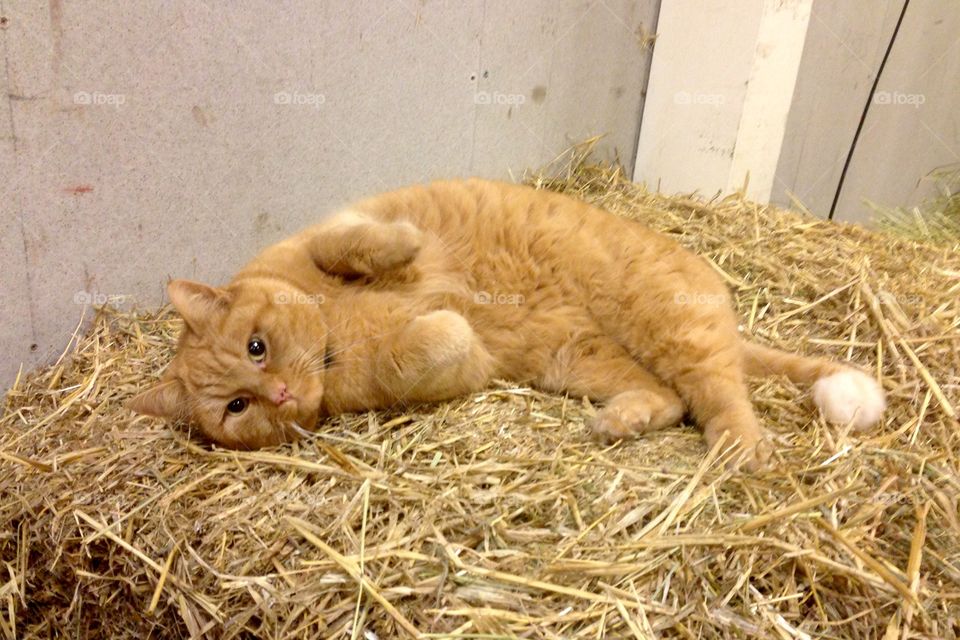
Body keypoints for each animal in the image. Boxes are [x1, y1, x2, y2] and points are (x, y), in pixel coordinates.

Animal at [127, 179, 884, 470]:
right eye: (236, 407)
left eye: (256, 347)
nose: (280, 394)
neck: (335, 334)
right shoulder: (449, 367)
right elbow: (436, 341)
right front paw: (441, 319)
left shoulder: (338, 225)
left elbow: (358, 242)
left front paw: (404, 248)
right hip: (582, 360)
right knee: (672, 397)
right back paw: (625, 420)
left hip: (669, 323)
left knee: (722, 395)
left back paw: (742, 450)